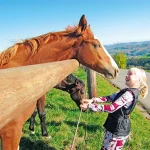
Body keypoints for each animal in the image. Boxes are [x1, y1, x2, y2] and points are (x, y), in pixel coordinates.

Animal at [0, 14, 118, 150]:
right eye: (96, 45)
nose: (116, 70)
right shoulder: (11, 132)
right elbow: (42, 112)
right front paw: (45, 134)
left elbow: (35, 112)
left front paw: (32, 129)